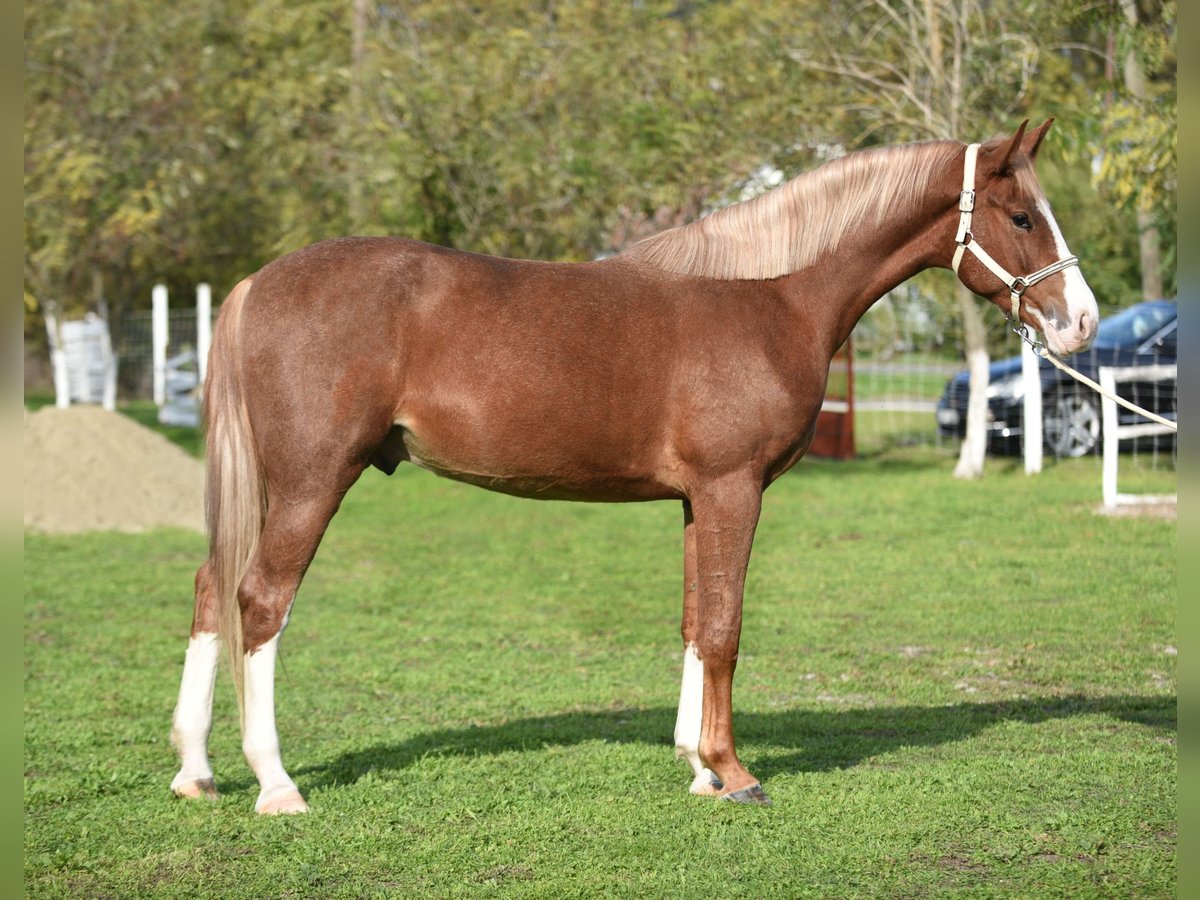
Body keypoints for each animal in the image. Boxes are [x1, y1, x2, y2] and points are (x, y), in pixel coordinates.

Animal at [166, 116, 1099, 816]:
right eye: (1023, 217)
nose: (1082, 322)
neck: (773, 295)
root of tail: (256, 283)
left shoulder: (695, 499)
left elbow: (693, 621)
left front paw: (698, 768)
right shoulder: (732, 490)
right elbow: (724, 628)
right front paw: (735, 772)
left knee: (212, 588)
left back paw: (196, 771)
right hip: (313, 480)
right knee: (261, 600)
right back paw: (276, 785)